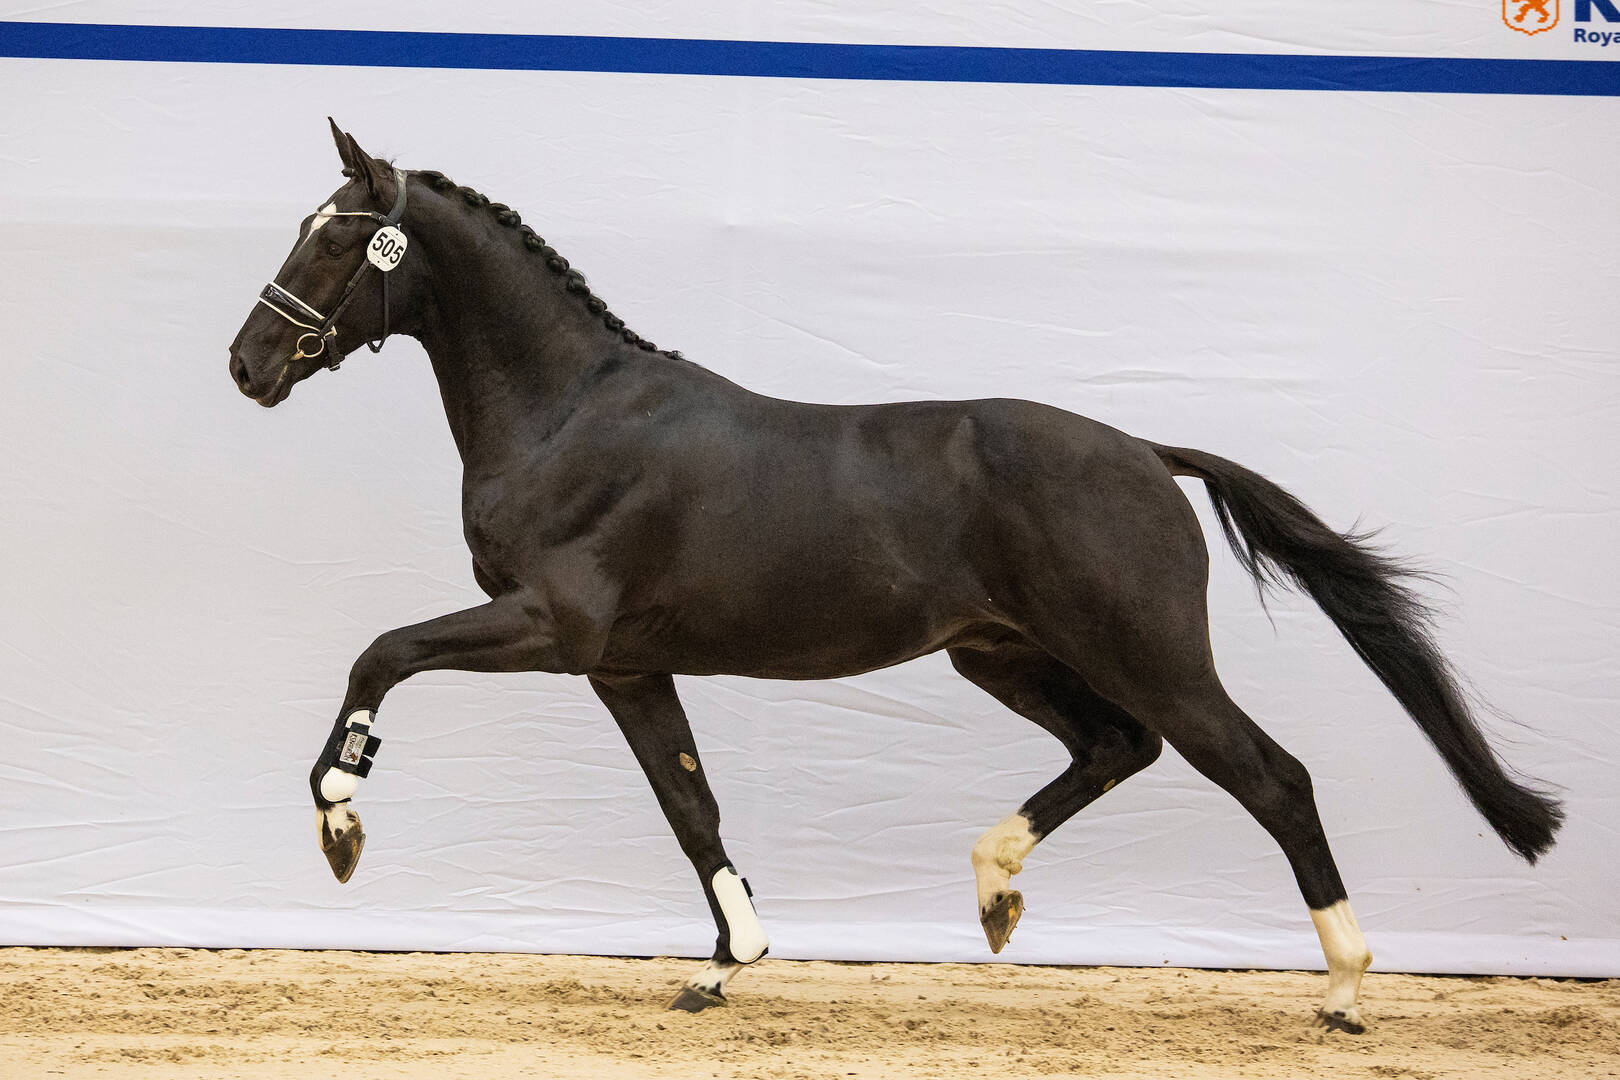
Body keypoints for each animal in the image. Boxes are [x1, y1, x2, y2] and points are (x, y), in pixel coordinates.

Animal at [227, 121, 1562, 1030]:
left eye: (339, 235)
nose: (247, 363)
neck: (572, 418)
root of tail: (1149, 454)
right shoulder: (625, 666)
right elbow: (691, 805)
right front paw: (728, 966)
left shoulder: (552, 626)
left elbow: (384, 650)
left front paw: (339, 818)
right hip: (1002, 653)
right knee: (1116, 746)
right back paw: (996, 891)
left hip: (1146, 652)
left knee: (1268, 775)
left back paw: (1344, 989)